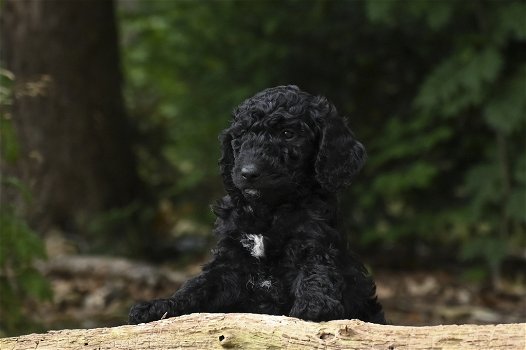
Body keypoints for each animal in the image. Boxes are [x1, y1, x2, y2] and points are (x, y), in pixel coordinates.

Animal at [130, 86, 386, 324]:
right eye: (241, 135)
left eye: (287, 133)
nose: (248, 173)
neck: (268, 210)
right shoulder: (230, 263)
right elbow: (198, 286)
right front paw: (160, 305)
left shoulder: (314, 240)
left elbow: (316, 269)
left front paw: (314, 305)